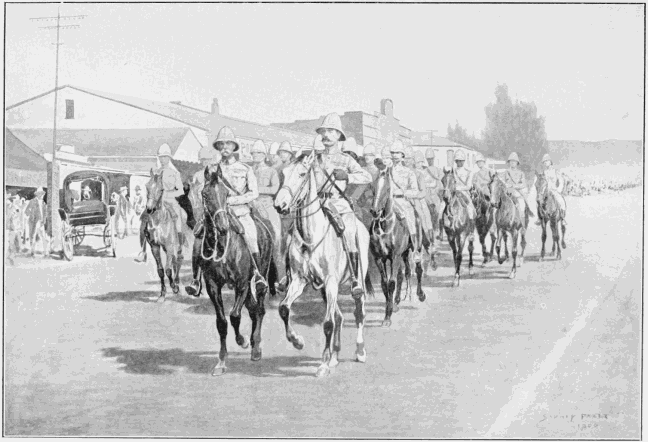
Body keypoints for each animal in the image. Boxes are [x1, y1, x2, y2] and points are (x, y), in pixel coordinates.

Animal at [145, 167, 187, 302]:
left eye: (161, 189)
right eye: (147, 186)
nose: (149, 209)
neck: (158, 222)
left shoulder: (169, 245)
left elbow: (168, 270)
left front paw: (174, 287)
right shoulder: (155, 247)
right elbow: (161, 270)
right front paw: (162, 294)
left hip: (178, 245)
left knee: (178, 260)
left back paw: (177, 284)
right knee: (174, 261)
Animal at [200, 167, 276, 374]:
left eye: (226, 194)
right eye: (205, 194)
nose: (223, 227)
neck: (223, 247)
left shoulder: (242, 283)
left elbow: (234, 315)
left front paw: (242, 341)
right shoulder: (213, 286)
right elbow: (221, 322)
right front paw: (221, 362)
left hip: (259, 280)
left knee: (259, 310)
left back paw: (255, 348)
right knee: (252, 310)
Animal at [274, 151, 370, 376]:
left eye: (301, 174)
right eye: (283, 174)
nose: (279, 205)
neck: (311, 236)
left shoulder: (331, 281)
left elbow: (327, 323)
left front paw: (323, 364)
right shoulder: (299, 281)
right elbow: (284, 308)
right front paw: (297, 341)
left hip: (357, 280)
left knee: (358, 312)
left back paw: (359, 351)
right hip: (324, 290)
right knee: (339, 316)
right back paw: (335, 356)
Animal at [370, 166, 426, 328]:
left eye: (387, 187)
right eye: (373, 187)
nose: (374, 211)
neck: (385, 225)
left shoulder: (394, 257)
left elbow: (391, 283)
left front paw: (387, 317)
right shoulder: (379, 258)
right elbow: (385, 284)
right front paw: (389, 309)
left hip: (416, 247)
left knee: (418, 269)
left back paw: (420, 294)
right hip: (404, 253)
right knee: (403, 274)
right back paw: (396, 301)